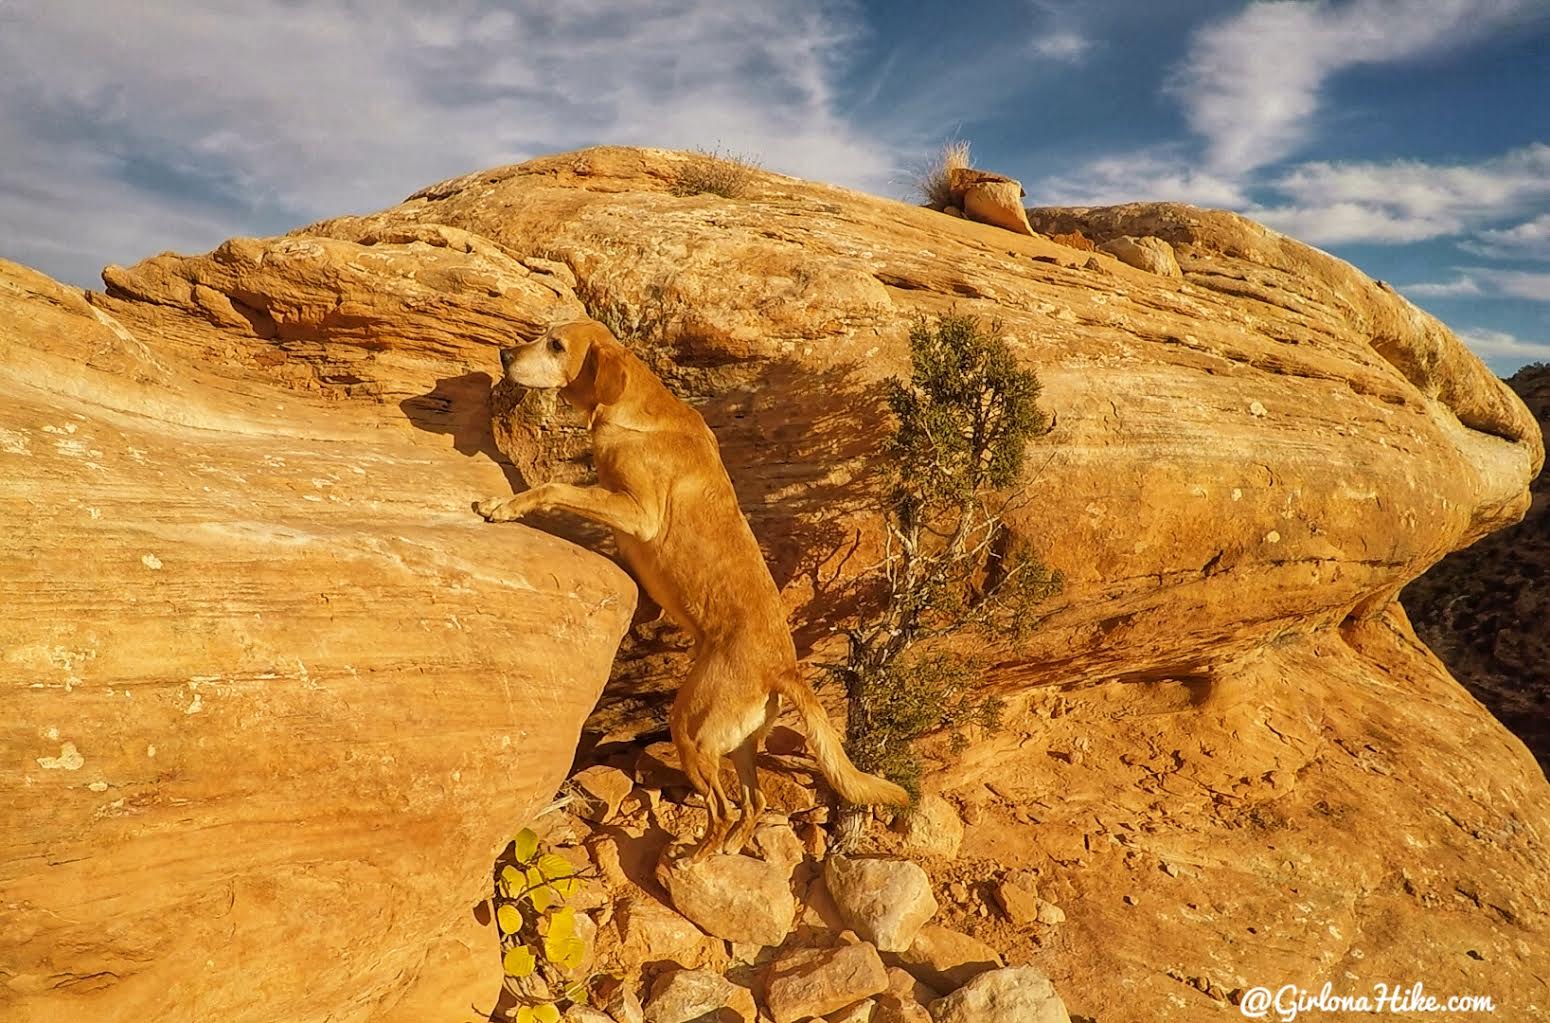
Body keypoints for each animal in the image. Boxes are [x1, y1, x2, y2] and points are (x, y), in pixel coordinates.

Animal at [474, 317, 905, 855]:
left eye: (556, 345)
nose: (505, 355)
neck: (634, 411)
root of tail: (783, 669)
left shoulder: (637, 512)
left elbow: (555, 487)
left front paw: (503, 506)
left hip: (690, 729)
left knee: (721, 809)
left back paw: (691, 858)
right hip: (738, 745)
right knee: (754, 802)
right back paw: (730, 847)